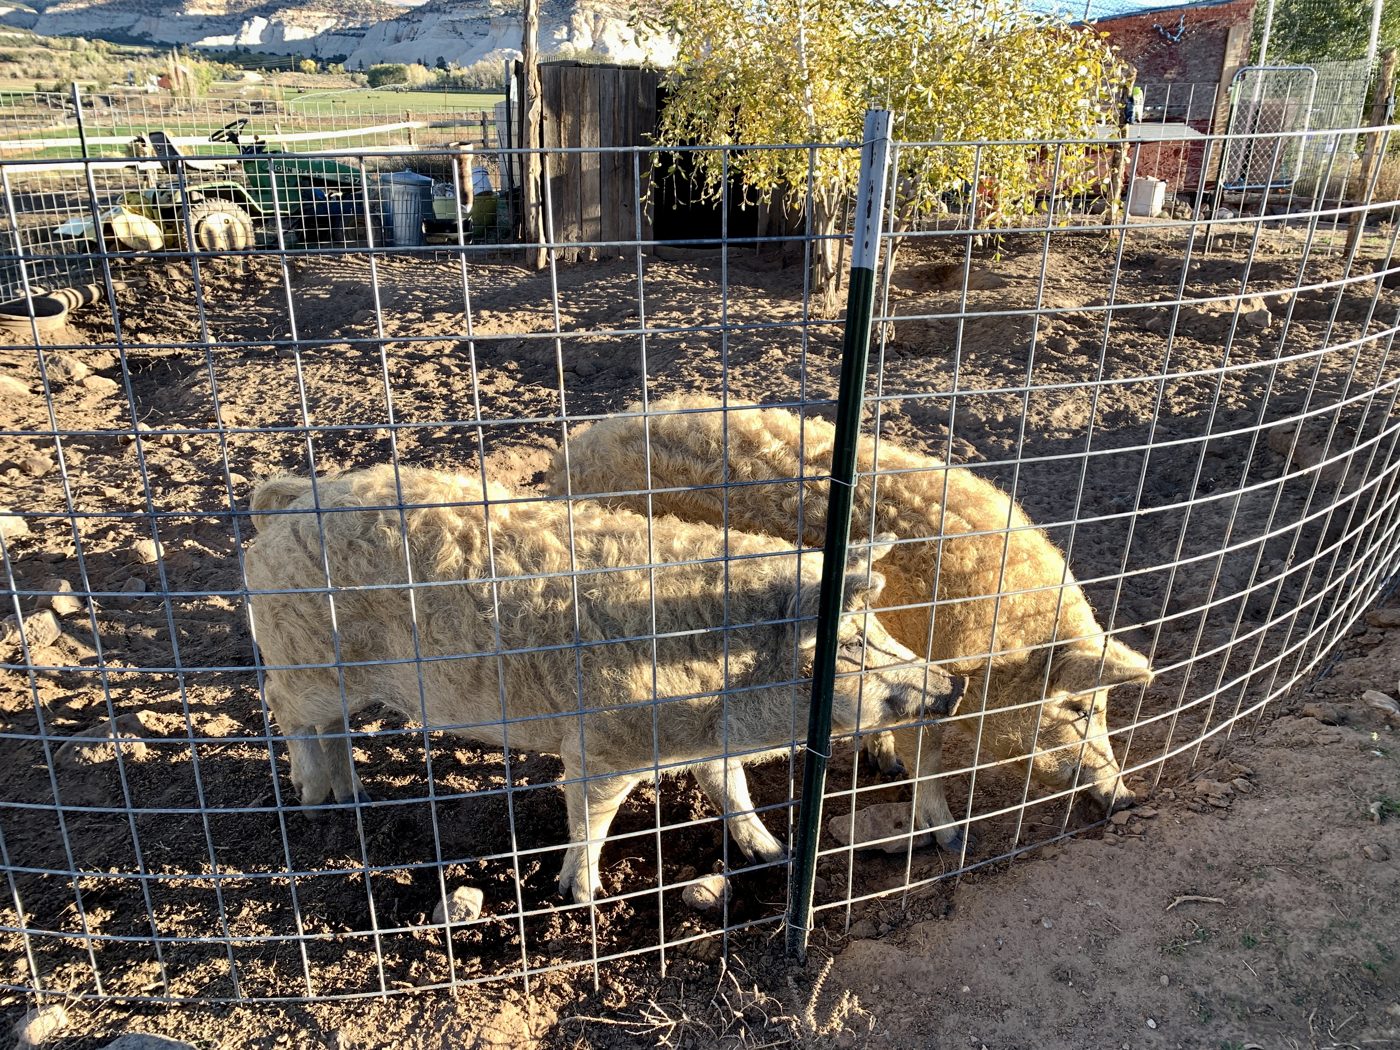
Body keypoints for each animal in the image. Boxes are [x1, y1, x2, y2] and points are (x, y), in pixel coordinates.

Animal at [244, 464, 962, 902]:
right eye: (851, 641)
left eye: (877, 626)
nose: (951, 686)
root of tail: (289, 502)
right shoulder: (605, 745)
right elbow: (593, 816)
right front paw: (583, 896)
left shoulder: (706, 743)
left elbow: (730, 791)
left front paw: (775, 854)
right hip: (306, 661)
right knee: (282, 706)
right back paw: (315, 801)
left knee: (328, 727)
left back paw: (349, 796)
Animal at [548, 396, 1154, 848]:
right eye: (1080, 708)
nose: (1127, 797)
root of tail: (573, 451)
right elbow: (927, 753)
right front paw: (953, 837)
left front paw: (882, 763)